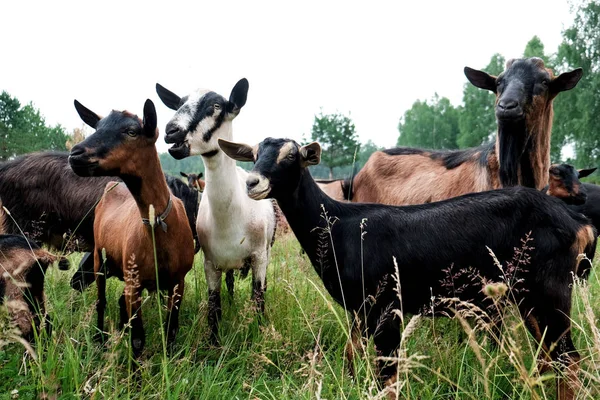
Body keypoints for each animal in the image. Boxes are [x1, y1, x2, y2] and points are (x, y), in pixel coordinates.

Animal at [69, 98, 195, 354]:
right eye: (98, 127)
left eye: (131, 131)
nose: (75, 155)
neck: (160, 229)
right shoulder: (135, 283)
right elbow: (138, 338)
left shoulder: (178, 281)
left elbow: (171, 329)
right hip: (99, 260)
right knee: (101, 301)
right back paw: (100, 339)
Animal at [155, 79, 276, 344]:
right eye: (179, 103)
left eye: (216, 106)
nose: (171, 131)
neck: (231, 217)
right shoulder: (210, 263)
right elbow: (214, 306)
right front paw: (213, 343)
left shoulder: (258, 257)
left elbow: (258, 298)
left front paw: (258, 333)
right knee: (230, 283)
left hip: (267, 250)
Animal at [219, 137, 596, 400]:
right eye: (254, 153)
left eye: (291, 156)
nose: (252, 183)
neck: (342, 228)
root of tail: (579, 224)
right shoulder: (360, 310)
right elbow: (353, 360)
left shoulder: (388, 308)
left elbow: (388, 378)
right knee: (551, 360)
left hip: (547, 291)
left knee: (568, 360)